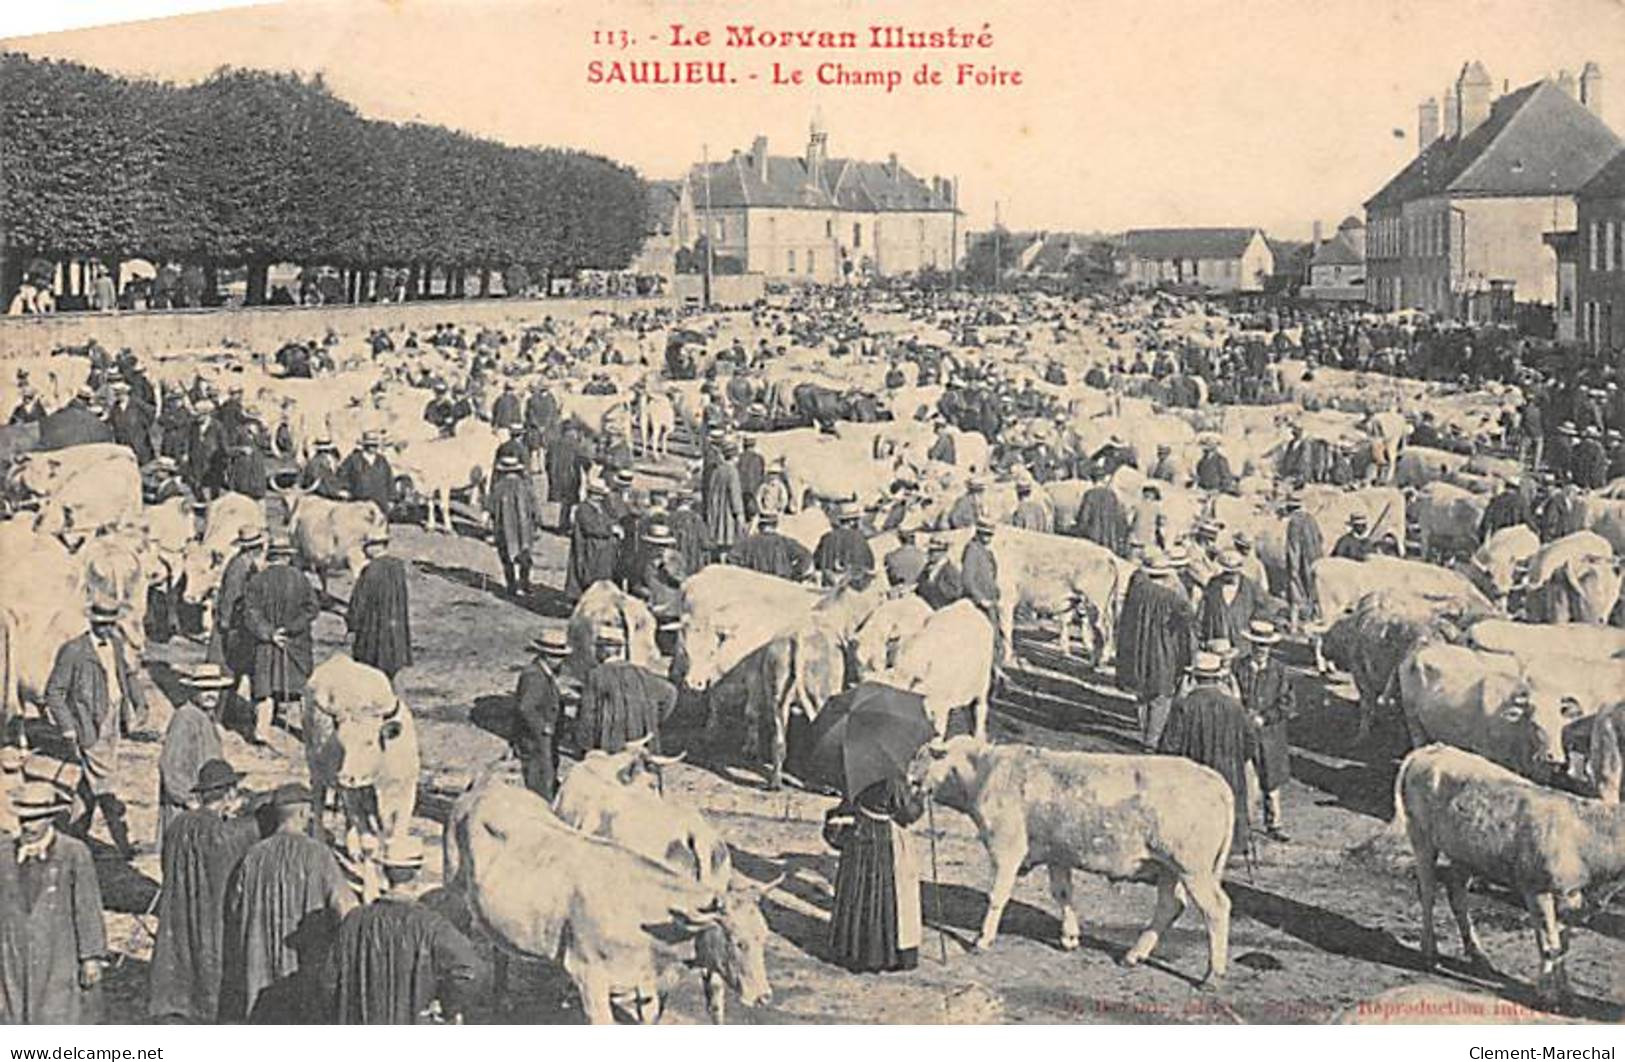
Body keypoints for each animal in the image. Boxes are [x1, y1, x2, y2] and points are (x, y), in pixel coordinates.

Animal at [910, 740, 1235, 980]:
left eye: (921, 758)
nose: (909, 780)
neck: (983, 771)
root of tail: (1214, 779)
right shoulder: (1058, 853)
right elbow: (1063, 893)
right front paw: (1069, 937)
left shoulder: (1007, 847)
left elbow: (997, 896)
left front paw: (982, 939)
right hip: (1170, 869)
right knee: (1170, 906)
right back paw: (1134, 955)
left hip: (1192, 868)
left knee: (1216, 908)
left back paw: (1212, 974)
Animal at [1391, 743, 1625, 1000]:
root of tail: (1425, 751)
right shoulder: (1536, 887)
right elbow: (1548, 941)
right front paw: (1547, 992)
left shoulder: (1571, 897)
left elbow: (1561, 943)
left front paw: (1565, 989)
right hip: (1421, 835)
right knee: (1428, 891)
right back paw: (1430, 951)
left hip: (1465, 852)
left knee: (1457, 894)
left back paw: (1479, 956)